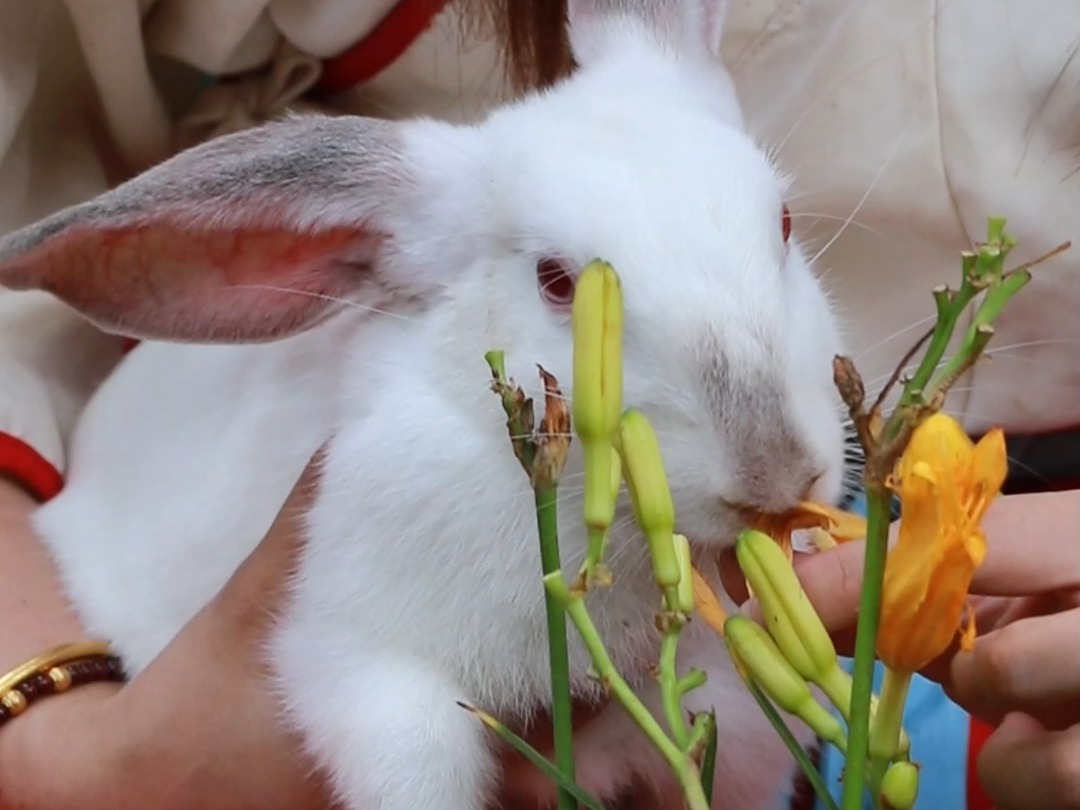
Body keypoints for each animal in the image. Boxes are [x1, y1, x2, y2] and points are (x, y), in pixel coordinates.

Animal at [0, 1, 851, 810]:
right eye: (556, 282)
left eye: (782, 224)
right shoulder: (369, 675)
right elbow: (416, 760)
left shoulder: (738, 718)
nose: (777, 471)